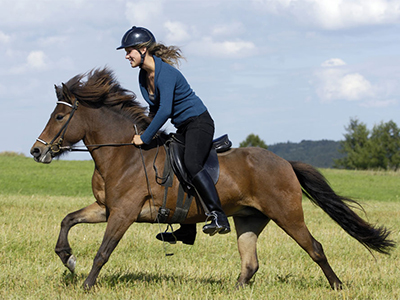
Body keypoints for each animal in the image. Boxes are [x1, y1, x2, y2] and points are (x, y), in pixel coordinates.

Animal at [28, 68, 394, 290]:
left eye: (59, 116)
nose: (36, 151)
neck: (123, 154)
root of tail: (284, 163)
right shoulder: (106, 208)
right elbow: (67, 220)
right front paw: (68, 258)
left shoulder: (123, 213)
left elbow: (104, 251)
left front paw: (87, 284)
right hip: (249, 219)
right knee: (250, 263)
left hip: (287, 214)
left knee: (314, 248)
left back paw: (337, 286)